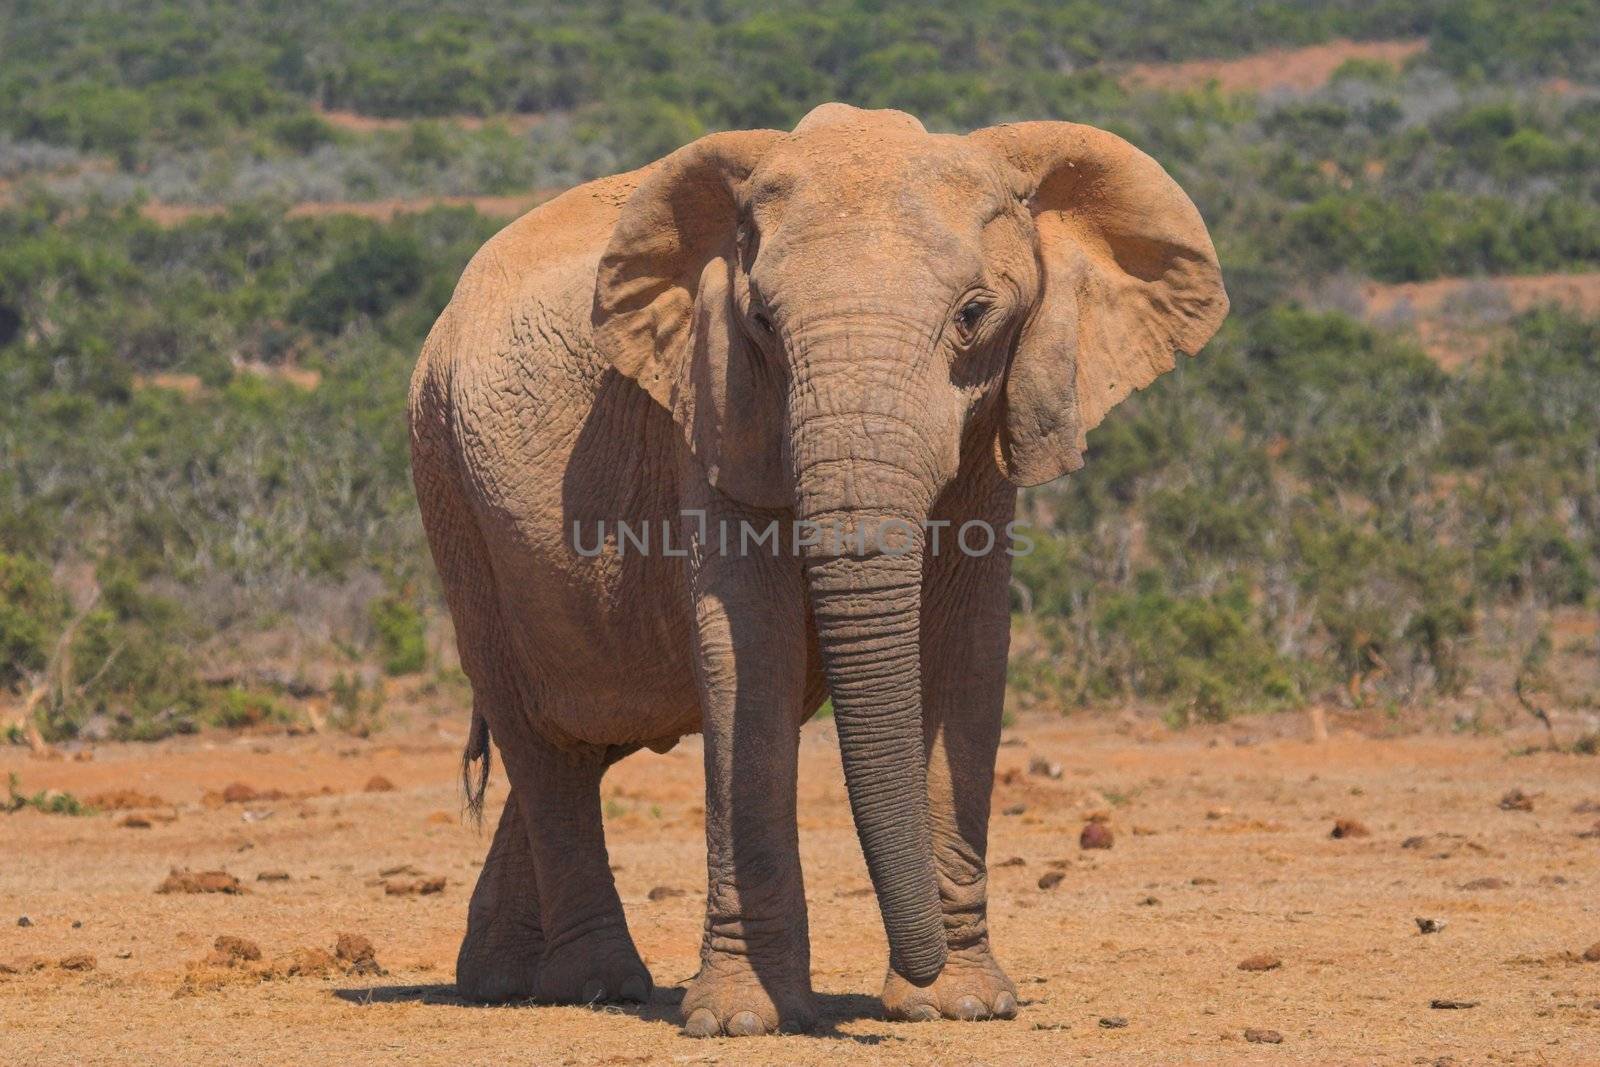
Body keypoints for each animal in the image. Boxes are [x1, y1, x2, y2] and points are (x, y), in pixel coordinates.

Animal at [409, 99, 1222, 1036]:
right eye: (763, 321)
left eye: (975, 314)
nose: (913, 971)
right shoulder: (716, 399)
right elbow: (747, 652)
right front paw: (742, 1021)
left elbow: (967, 649)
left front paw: (964, 1004)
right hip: (447, 481)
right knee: (541, 737)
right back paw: (596, 985)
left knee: (586, 737)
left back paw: (502, 979)